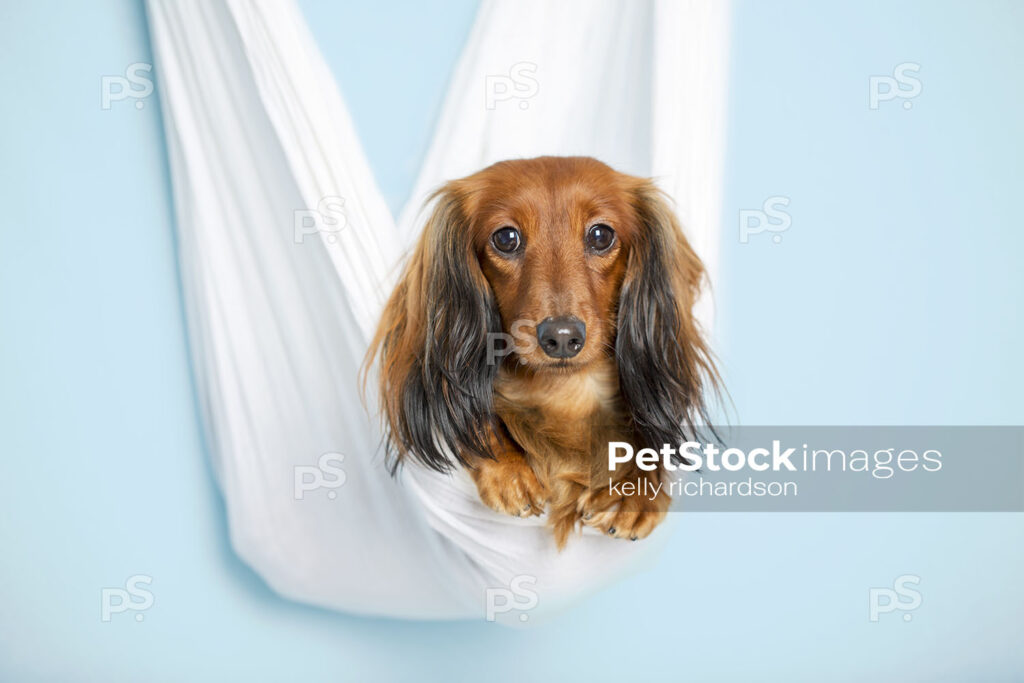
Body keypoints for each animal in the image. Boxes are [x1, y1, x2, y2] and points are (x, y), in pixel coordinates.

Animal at [370, 157, 720, 548]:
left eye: (601, 235)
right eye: (506, 238)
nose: (563, 337)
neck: (564, 394)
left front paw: (635, 492)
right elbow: (469, 414)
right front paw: (508, 471)